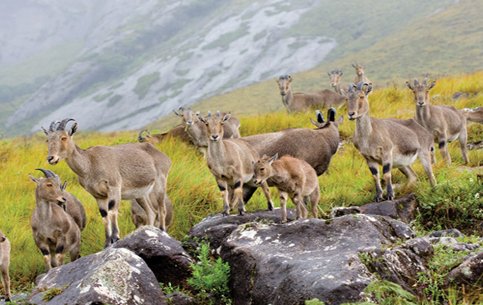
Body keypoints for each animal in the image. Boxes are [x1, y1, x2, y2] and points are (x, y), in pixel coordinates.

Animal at [43, 117, 172, 246]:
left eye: (64, 137)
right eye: (48, 139)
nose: (51, 158)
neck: (90, 164)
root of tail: (164, 156)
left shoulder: (114, 187)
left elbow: (112, 211)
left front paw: (116, 237)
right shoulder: (98, 196)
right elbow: (104, 215)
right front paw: (107, 242)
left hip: (160, 184)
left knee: (162, 209)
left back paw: (162, 231)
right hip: (141, 194)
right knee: (151, 212)